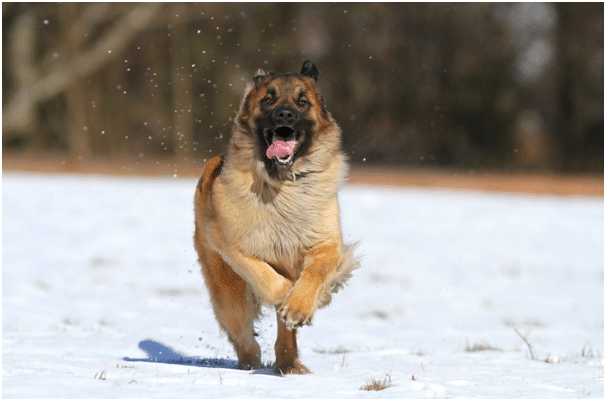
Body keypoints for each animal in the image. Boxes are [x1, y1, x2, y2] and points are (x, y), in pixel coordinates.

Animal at [194, 61, 360, 374]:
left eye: (302, 102)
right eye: (268, 100)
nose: (285, 114)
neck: (282, 184)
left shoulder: (326, 242)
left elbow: (316, 272)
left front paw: (298, 306)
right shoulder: (229, 243)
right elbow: (268, 279)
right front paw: (286, 294)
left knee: (283, 335)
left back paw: (289, 363)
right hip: (228, 295)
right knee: (242, 335)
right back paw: (252, 362)